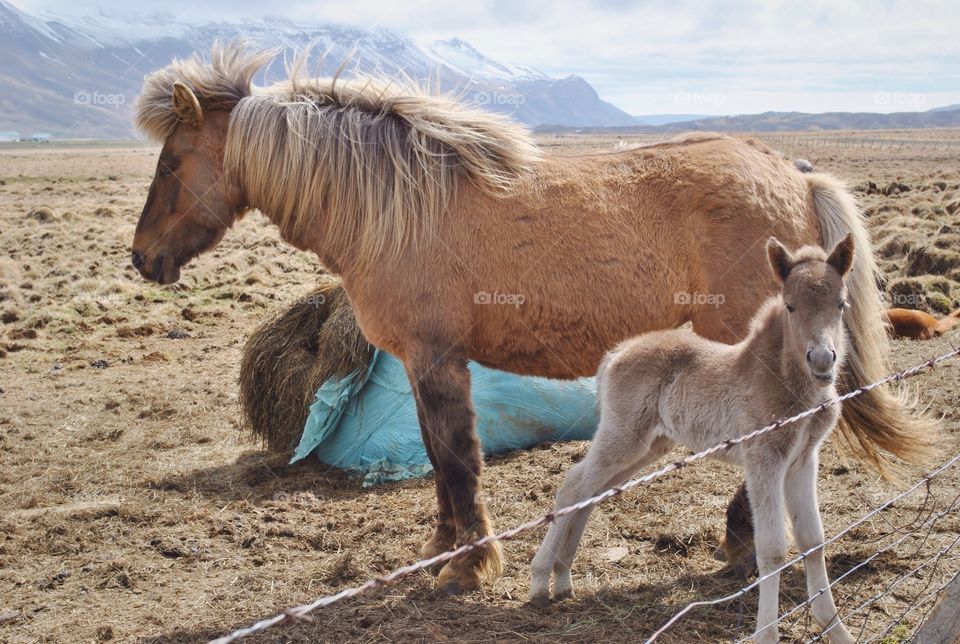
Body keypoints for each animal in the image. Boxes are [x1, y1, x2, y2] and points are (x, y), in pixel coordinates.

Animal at [131, 42, 932, 592]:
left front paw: (470, 566)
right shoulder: (423, 364)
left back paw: (740, 540)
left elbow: (459, 458)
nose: (143, 259)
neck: (400, 205)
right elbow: (441, 459)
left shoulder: (437, 359)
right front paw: (443, 551)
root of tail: (793, 171)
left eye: (170, 164)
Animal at [532, 236, 856, 644]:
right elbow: (772, 550)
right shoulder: (764, 458)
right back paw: (540, 580)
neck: (786, 382)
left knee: (592, 491)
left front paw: (836, 628)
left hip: (649, 446)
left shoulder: (802, 459)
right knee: (573, 486)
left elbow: (813, 541)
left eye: (841, 304)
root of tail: (616, 353)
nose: (822, 360)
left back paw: (562, 578)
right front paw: (766, 634)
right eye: (791, 306)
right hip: (623, 436)